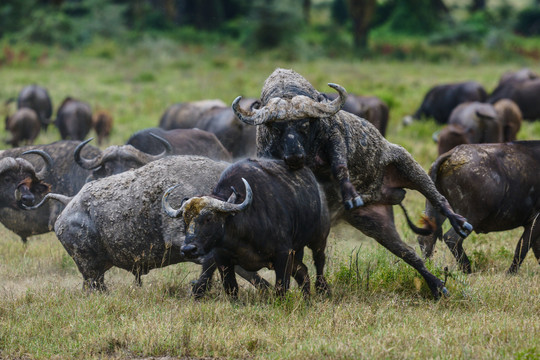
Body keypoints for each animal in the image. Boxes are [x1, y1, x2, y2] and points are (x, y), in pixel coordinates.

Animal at [27, 156, 268, 292]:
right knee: (93, 288)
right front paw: (199, 288)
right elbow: (212, 262)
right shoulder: (183, 242)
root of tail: (69, 203)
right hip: (89, 267)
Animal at [161, 158, 330, 298]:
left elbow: (281, 287)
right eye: (185, 221)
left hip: (319, 239)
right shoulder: (222, 260)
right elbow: (231, 289)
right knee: (303, 272)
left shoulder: (283, 254)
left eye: (209, 218)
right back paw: (307, 300)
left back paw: (323, 290)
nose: (188, 250)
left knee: (319, 262)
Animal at [232, 67, 472, 298]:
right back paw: (437, 286)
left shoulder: (334, 135)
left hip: (408, 165)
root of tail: (382, 193)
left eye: (305, 125)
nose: (294, 157)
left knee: (438, 198)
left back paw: (460, 224)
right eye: (277, 128)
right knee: (407, 252)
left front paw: (350, 194)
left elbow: (339, 165)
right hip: (374, 223)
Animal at [418, 142, 540, 274]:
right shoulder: (535, 221)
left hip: (435, 207)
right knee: (452, 238)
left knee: (426, 238)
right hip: (471, 216)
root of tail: (453, 154)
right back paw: (467, 269)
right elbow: (522, 247)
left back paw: (428, 267)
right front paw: (510, 273)